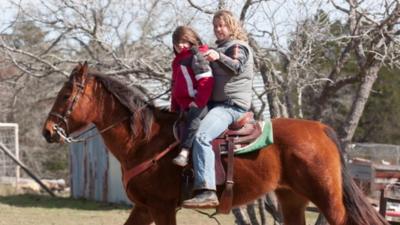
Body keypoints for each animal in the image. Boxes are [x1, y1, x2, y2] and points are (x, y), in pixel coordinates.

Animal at [43, 62, 388, 225]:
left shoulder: (162, 207)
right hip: (292, 199)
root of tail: (320, 128)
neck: (144, 140)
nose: (48, 131)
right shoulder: (144, 208)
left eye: (66, 95)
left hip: (328, 200)